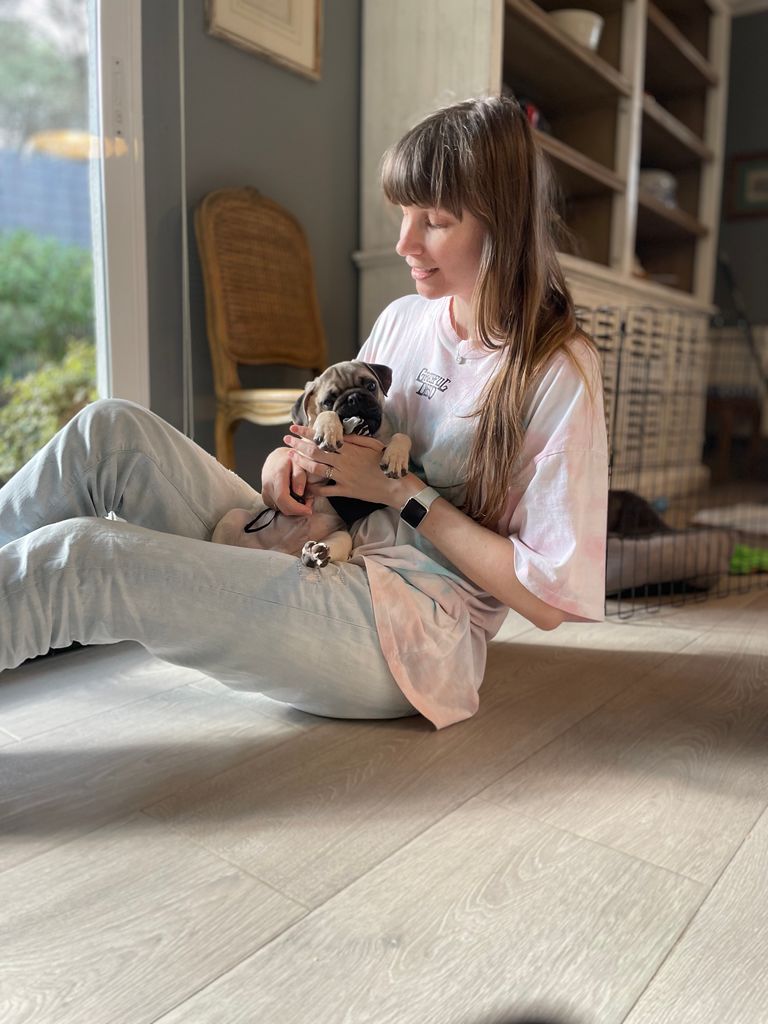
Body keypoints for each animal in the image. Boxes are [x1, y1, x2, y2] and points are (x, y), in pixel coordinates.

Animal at [210, 360, 411, 569]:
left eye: (371, 385)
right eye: (328, 401)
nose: (354, 397)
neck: (361, 432)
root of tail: (278, 550)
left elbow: (402, 436)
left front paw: (396, 457)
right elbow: (327, 417)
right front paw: (328, 428)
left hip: (342, 537)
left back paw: (315, 553)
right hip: (232, 518)